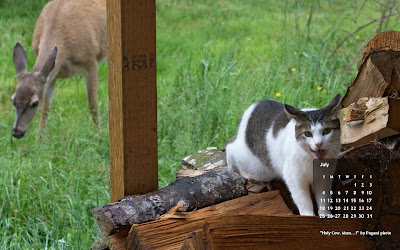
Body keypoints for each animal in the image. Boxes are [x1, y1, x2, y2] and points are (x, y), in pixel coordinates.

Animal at [11, 0, 106, 139]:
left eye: (34, 103)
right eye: (13, 100)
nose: (17, 132)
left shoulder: (91, 61)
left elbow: (92, 104)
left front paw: (99, 137)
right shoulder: (52, 73)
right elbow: (46, 109)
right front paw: (40, 141)